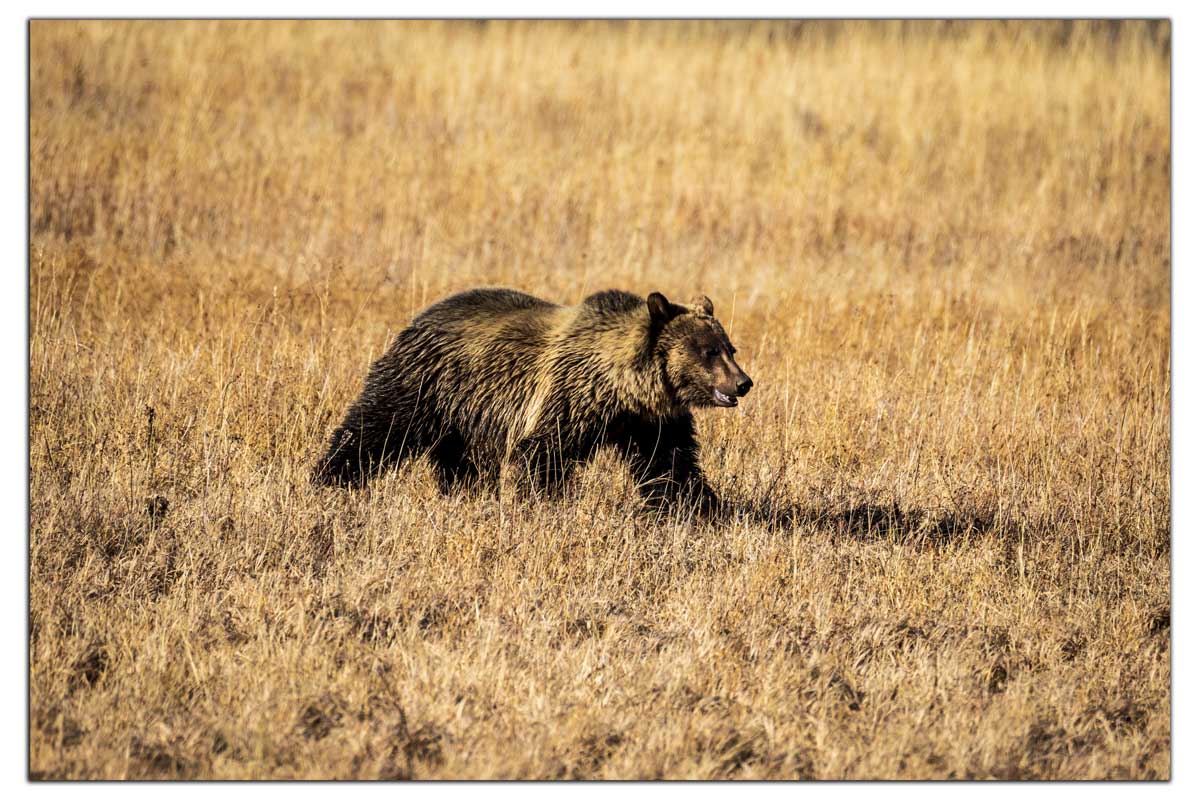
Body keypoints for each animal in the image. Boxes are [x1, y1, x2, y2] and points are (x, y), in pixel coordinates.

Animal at [313, 288, 753, 514]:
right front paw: (544, 505)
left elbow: (671, 463)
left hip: (467, 412)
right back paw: (330, 476)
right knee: (378, 425)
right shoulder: (568, 397)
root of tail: (419, 316)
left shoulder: (650, 422)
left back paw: (466, 493)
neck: (624, 387)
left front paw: (700, 507)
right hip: (427, 382)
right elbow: (544, 453)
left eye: (729, 347)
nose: (743, 382)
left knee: (462, 459)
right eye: (708, 351)